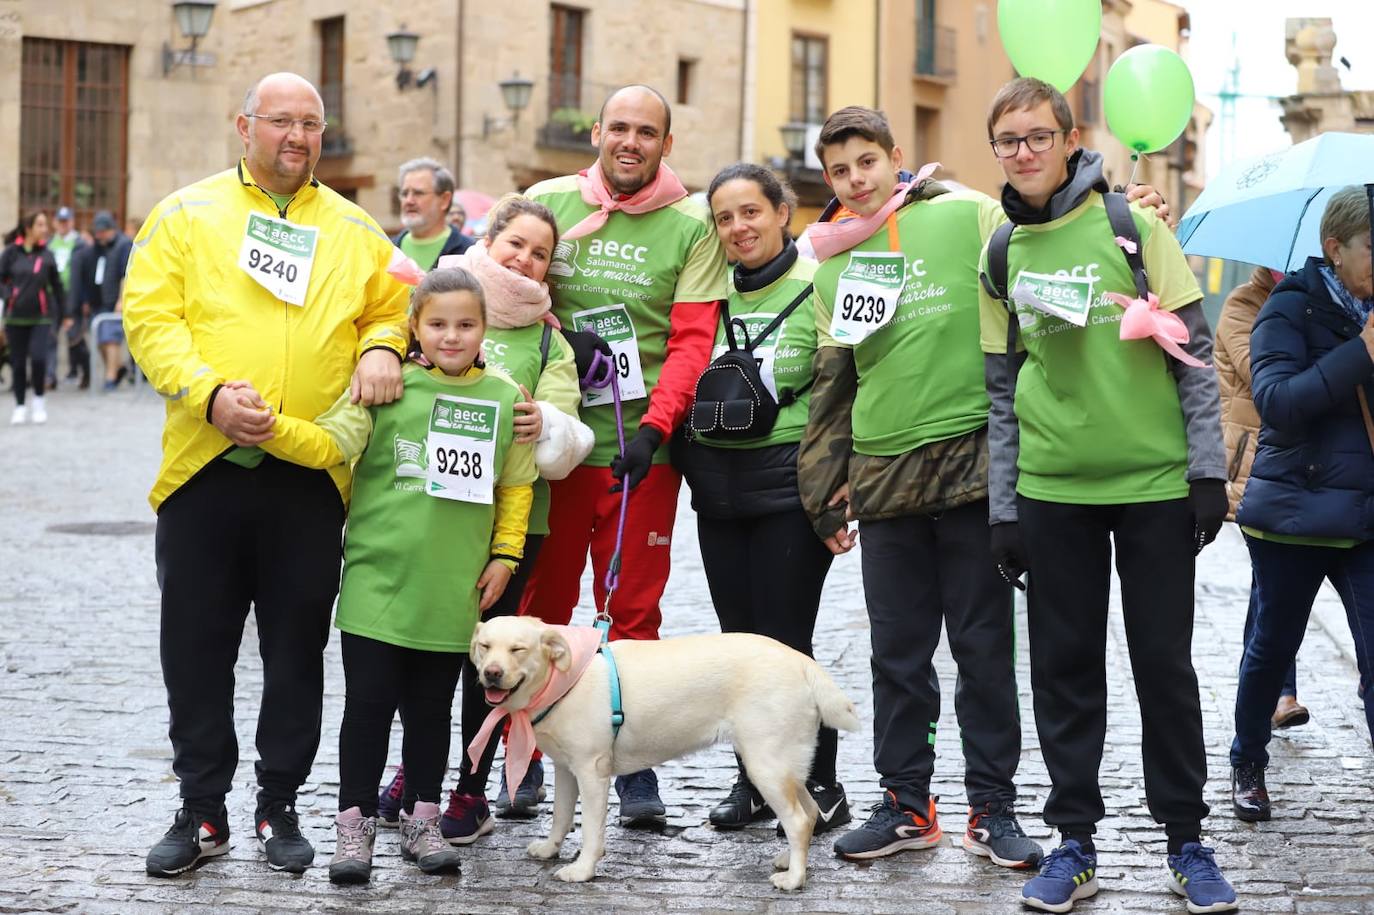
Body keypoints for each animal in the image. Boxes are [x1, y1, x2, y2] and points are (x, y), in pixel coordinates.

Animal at [472, 612, 857, 884]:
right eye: (485, 647)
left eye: (518, 649)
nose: (491, 673)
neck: (563, 680)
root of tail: (801, 661)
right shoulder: (566, 769)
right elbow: (562, 817)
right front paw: (551, 849)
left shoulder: (592, 772)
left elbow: (591, 830)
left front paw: (582, 870)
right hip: (786, 765)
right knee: (810, 813)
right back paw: (789, 860)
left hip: (765, 765)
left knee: (797, 819)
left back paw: (794, 879)